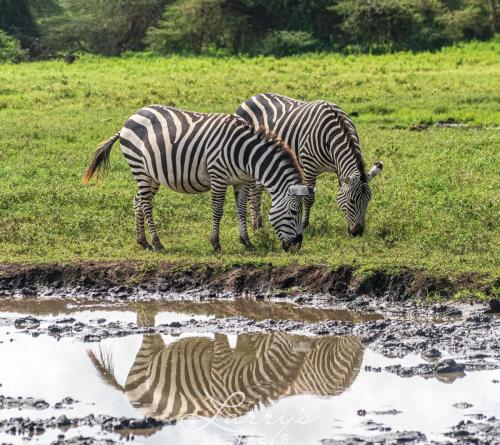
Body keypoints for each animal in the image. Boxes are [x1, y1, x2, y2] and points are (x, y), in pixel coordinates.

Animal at [83, 103, 314, 251]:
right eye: (294, 211)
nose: (297, 245)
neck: (246, 155)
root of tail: (131, 117)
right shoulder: (218, 176)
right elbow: (218, 211)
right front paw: (215, 243)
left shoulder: (242, 181)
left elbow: (241, 210)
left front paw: (247, 241)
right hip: (139, 167)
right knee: (146, 204)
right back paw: (157, 243)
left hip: (151, 174)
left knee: (138, 200)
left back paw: (143, 242)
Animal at [234, 93, 382, 236]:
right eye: (351, 201)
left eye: (368, 200)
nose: (358, 232)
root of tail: (251, 97)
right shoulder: (310, 167)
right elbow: (309, 198)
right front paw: (305, 225)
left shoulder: (338, 168)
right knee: (253, 191)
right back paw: (255, 225)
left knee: (258, 188)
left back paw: (258, 222)